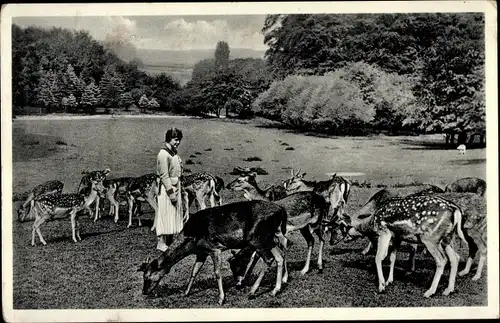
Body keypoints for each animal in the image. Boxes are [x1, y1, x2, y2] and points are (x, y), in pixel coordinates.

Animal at [137, 200, 288, 306]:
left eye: (147, 276)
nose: (144, 291)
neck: (192, 238)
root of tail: (281, 210)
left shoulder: (214, 248)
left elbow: (217, 273)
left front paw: (221, 299)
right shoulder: (201, 253)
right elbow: (194, 271)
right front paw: (185, 293)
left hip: (258, 239)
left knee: (269, 259)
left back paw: (252, 292)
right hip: (268, 239)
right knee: (279, 256)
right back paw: (275, 290)